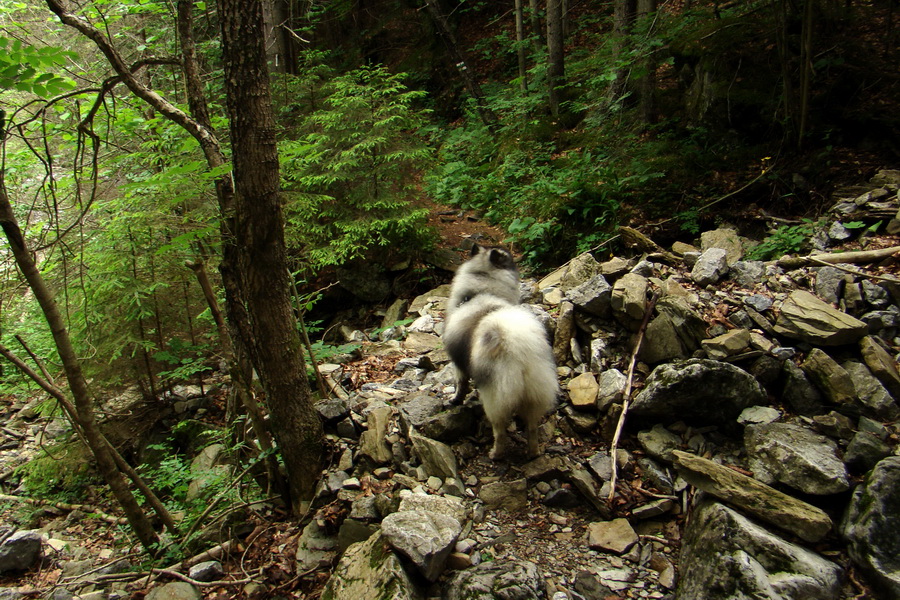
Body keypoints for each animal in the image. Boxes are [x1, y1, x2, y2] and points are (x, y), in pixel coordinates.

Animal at [442, 244, 556, 460]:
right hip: (534, 395)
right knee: (532, 429)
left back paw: (496, 454)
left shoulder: (458, 363)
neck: (481, 290)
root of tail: (520, 348)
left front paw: (455, 400)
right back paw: (533, 453)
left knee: (500, 431)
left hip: (495, 398)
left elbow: (460, 385)